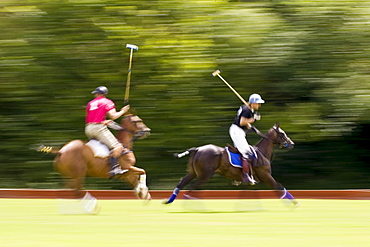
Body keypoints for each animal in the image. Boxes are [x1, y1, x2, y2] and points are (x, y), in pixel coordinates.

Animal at [163, 123, 300, 206]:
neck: (262, 152)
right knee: (192, 187)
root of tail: (197, 149)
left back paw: (168, 201)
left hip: (193, 172)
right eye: (282, 133)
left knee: (181, 184)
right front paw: (294, 203)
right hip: (205, 175)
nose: (292, 144)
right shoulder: (266, 176)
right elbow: (279, 186)